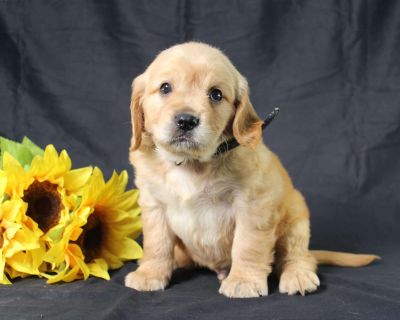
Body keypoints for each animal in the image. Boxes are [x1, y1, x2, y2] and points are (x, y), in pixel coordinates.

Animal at [124, 42, 378, 298]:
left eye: (216, 94)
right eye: (165, 88)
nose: (186, 120)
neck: (191, 163)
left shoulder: (253, 205)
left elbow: (247, 245)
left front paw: (243, 280)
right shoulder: (154, 205)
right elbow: (157, 244)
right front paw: (150, 273)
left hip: (296, 220)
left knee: (299, 257)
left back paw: (298, 275)